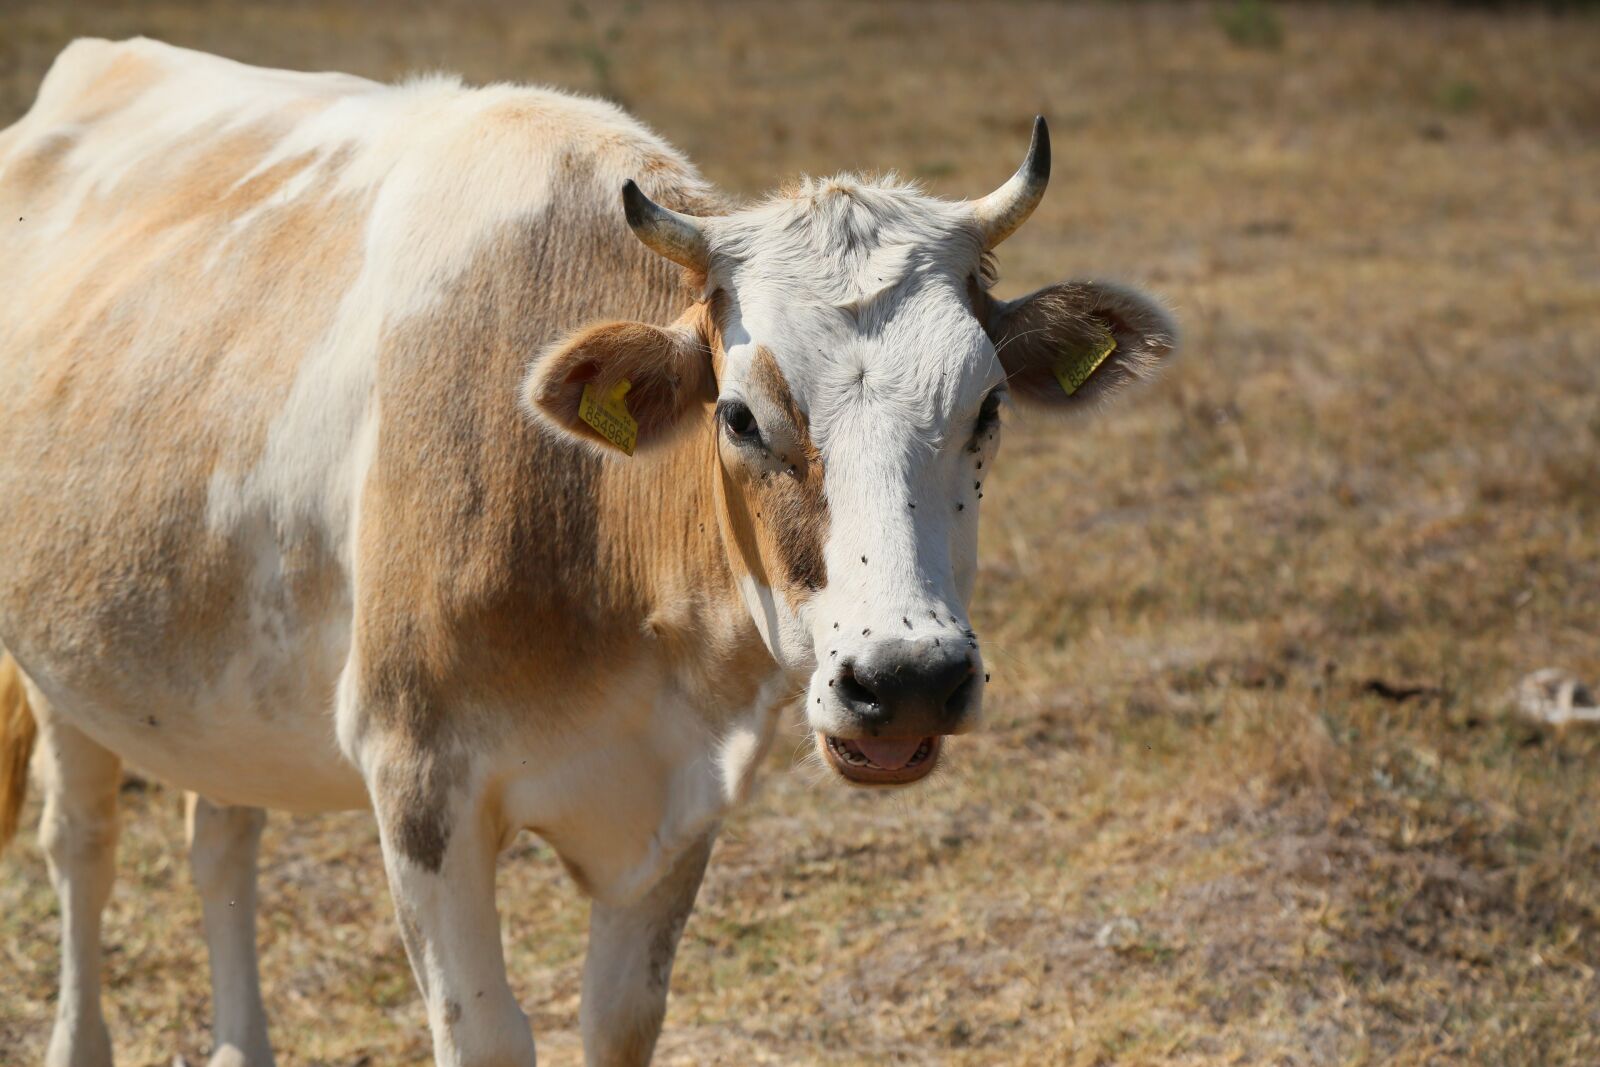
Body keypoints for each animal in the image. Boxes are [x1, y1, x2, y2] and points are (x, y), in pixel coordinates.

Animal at [0, 37, 1176, 1067]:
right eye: (739, 415)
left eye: (988, 407)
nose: (908, 678)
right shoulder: (417, 778)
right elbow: (485, 1031)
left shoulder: (683, 791)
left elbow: (619, 1020)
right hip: (62, 674)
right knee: (83, 848)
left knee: (221, 839)